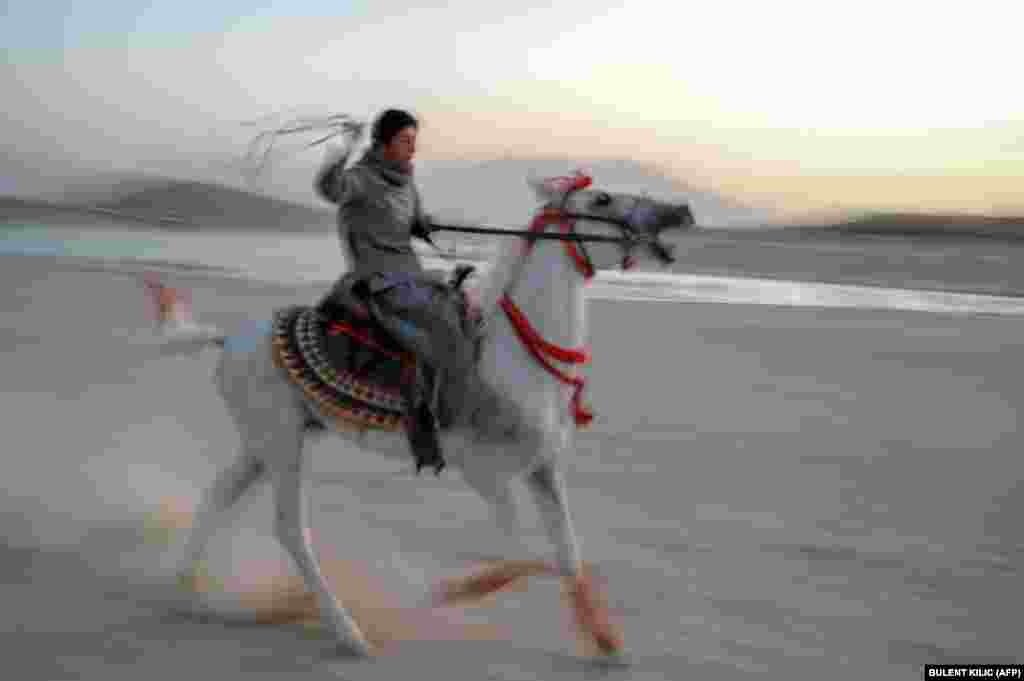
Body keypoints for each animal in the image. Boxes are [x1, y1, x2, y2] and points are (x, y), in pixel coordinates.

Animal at [148, 173, 692, 655]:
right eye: (602, 199)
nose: (680, 210)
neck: (517, 357)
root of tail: (228, 338)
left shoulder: (543, 470)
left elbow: (567, 555)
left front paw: (606, 642)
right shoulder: (485, 473)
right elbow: (524, 557)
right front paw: (438, 594)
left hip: (267, 441)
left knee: (219, 496)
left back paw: (183, 592)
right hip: (283, 444)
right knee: (289, 530)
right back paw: (348, 633)